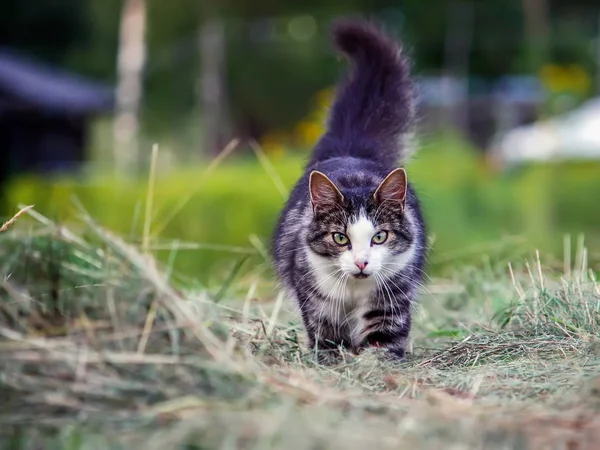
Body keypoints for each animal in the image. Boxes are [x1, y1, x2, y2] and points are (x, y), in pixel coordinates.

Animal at [272, 18, 426, 362]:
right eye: (340, 238)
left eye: (379, 237)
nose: (361, 262)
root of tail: (351, 151)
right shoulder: (318, 303)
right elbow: (329, 342)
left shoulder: (392, 299)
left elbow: (382, 344)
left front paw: (372, 365)